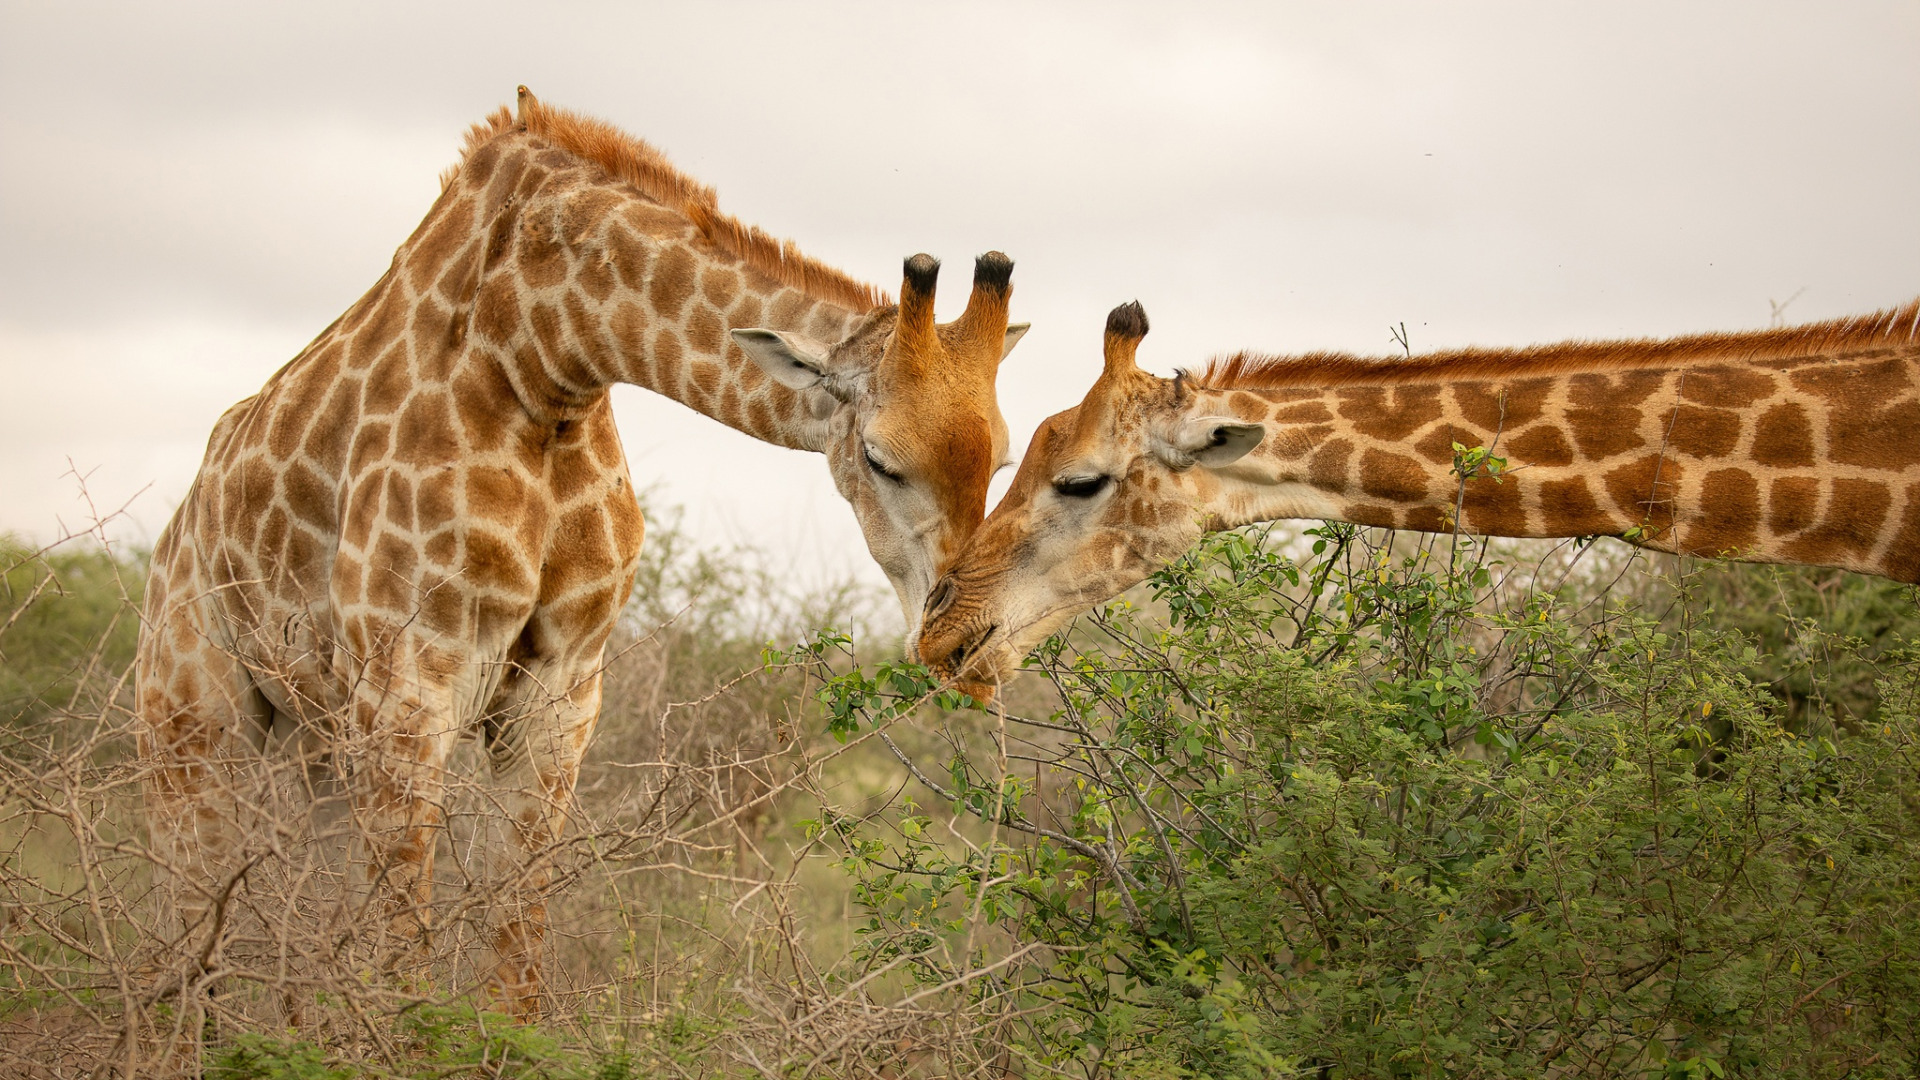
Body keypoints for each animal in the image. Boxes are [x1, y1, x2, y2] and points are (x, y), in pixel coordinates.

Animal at [133, 85, 1029, 1006]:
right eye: (881, 458)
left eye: (1002, 456)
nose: (969, 646)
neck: (542, 355)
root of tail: (176, 534)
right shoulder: (408, 683)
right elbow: (401, 951)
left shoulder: (561, 691)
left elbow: (515, 945)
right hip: (193, 718)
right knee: (187, 934)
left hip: (316, 733)